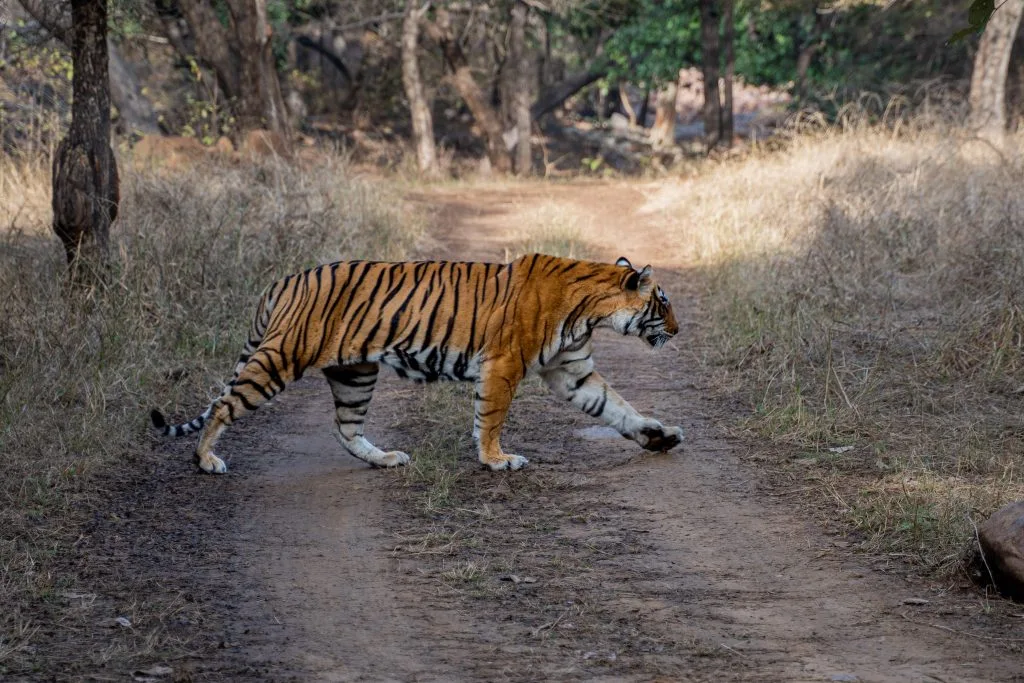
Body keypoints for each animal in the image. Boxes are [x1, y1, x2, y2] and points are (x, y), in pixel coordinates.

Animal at [151, 253, 684, 474]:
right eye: (663, 303)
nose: (679, 331)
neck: (590, 310)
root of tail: (283, 281)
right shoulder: (503, 365)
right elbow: (490, 418)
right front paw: (496, 460)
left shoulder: (572, 371)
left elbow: (616, 407)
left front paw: (658, 436)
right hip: (281, 358)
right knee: (224, 404)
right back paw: (205, 460)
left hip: (355, 373)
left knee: (345, 429)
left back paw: (386, 459)